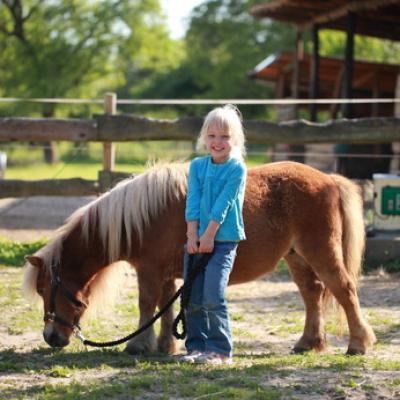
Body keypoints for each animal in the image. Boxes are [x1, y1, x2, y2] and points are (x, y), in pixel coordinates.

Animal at [24, 161, 376, 354]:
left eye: (43, 289)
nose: (51, 337)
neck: (139, 218)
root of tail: (329, 179)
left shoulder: (149, 270)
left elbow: (146, 304)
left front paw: (138, 345)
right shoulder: (166, 273)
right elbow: (164, 307)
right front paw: (165, 346)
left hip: (320, 251)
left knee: (344, 290)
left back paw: (358, 344)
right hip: (297, 257)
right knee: (312, 294)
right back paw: (309, 341)